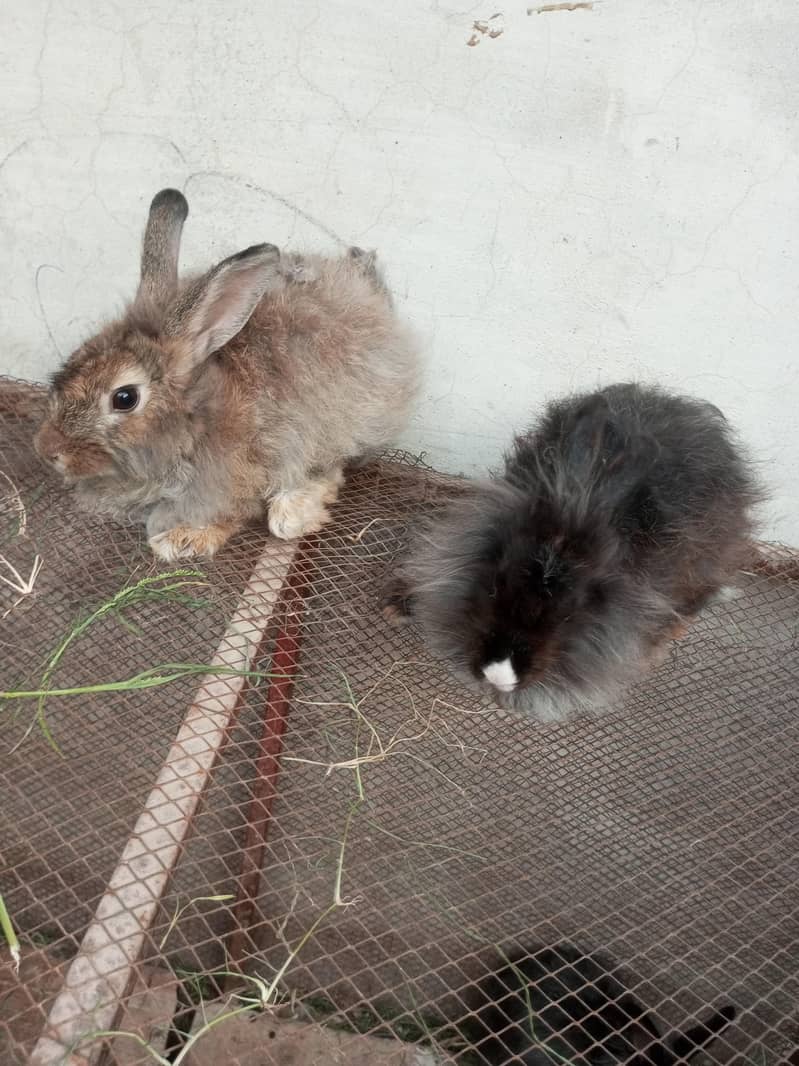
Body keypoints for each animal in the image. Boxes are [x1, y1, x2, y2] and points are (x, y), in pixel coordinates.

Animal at [34, 189, 420, 561]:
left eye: (124, 398)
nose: (46, 449)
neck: (196, 421)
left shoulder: (236, 482)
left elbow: (231, 515)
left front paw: (182, 540)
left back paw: (291, 514)